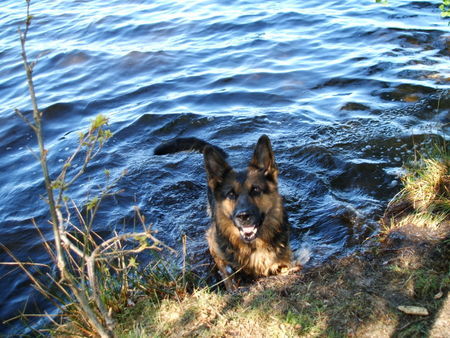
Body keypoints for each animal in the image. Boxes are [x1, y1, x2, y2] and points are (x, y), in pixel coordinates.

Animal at [155, 135, 296, 290]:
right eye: (231, 194)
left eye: (256, 190)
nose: (243, 216)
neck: (253, 245)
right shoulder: (214, 247)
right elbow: (228, 276)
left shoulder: (285, 260)